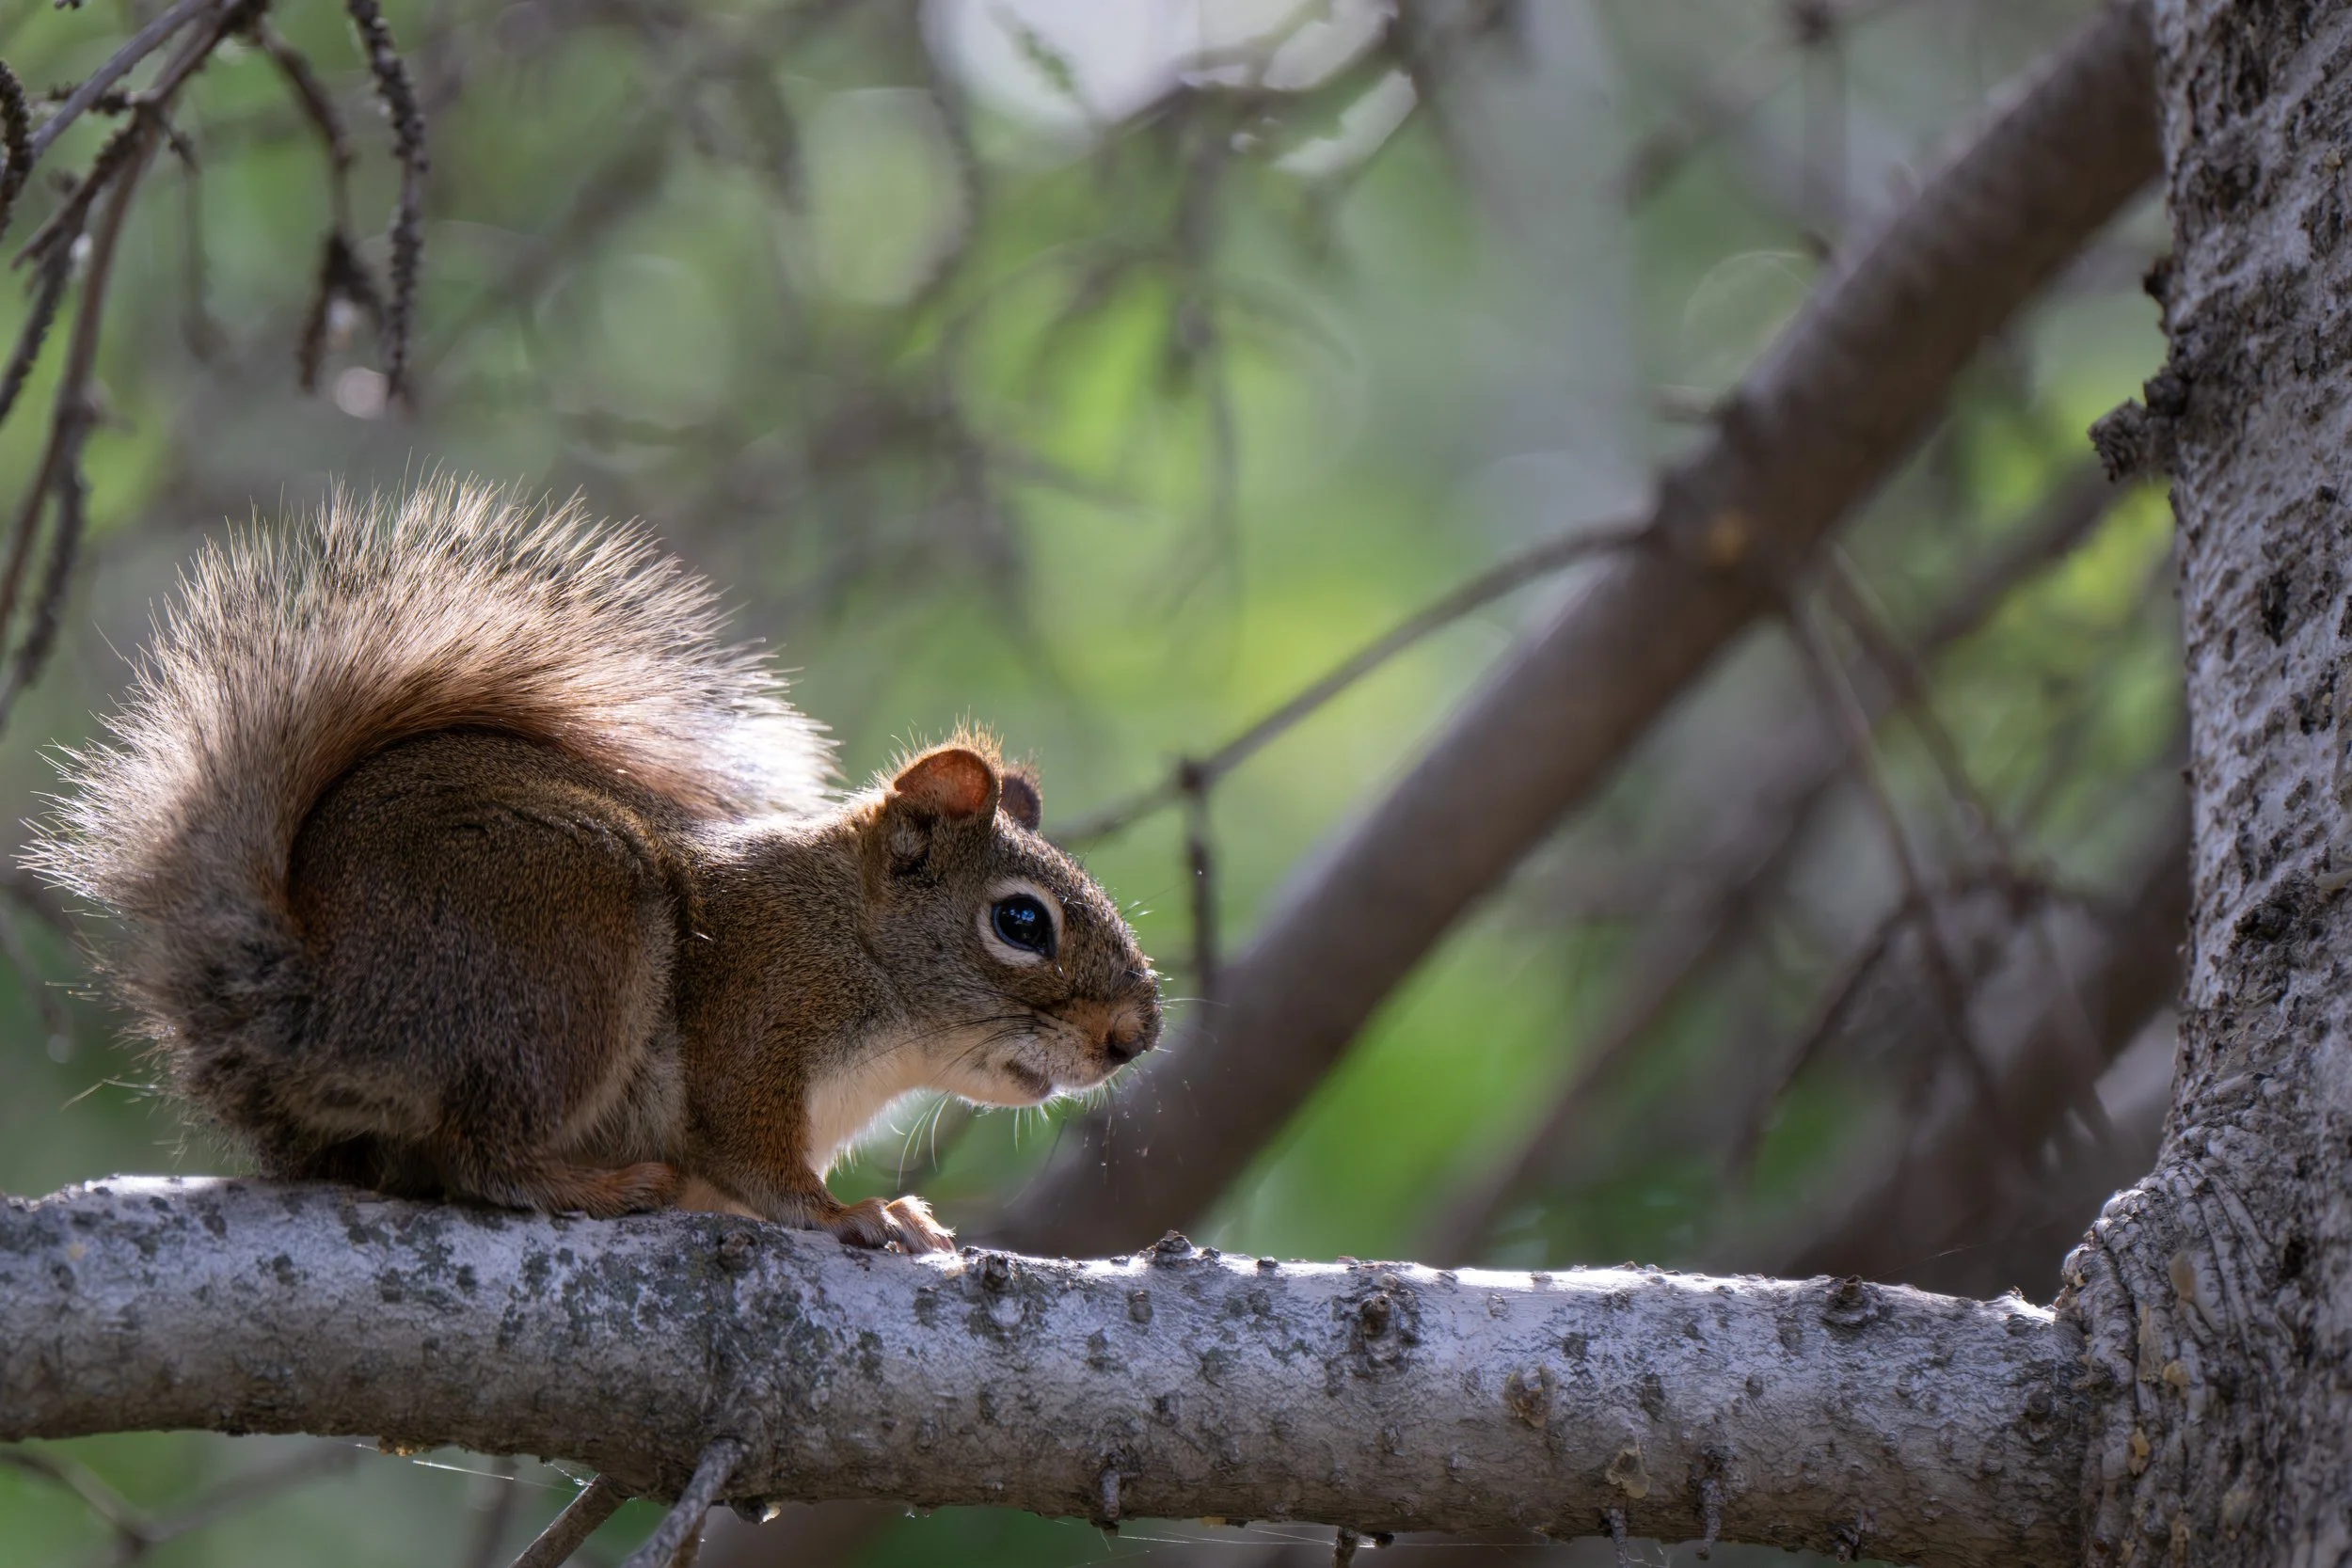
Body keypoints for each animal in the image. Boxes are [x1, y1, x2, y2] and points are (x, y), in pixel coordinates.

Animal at [24, 483, 1160, 1252]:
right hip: (572, 938)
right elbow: (760, 1158)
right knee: (476, 1155)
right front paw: (857, 1212)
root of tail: (311, 1002)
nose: (1135, 1036)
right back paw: (596, 1187)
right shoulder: (758, 1015)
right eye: (1021, 923)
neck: (857, 944)